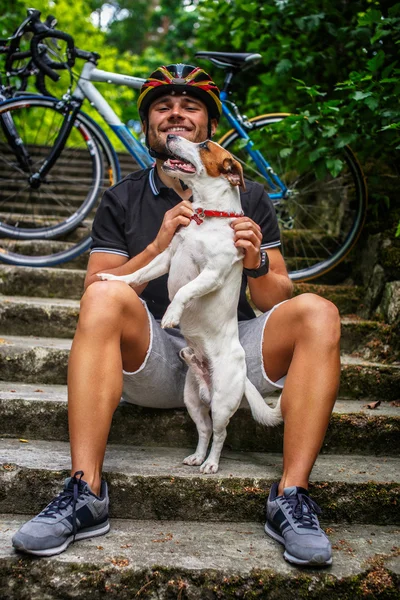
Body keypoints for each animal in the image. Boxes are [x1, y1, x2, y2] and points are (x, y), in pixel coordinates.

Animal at [99, 135, 282, 474]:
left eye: (205, 145)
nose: (172, 136)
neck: (205, 215)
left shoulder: (211, 273)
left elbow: (184, 291)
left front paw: (172, 314)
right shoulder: (168, 256)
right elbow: (139, 273)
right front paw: (114, 279)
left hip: (222, 402)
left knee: (221, 434)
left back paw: (210, 463)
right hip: (192, 400)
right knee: (205, 430)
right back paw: (198, 456)